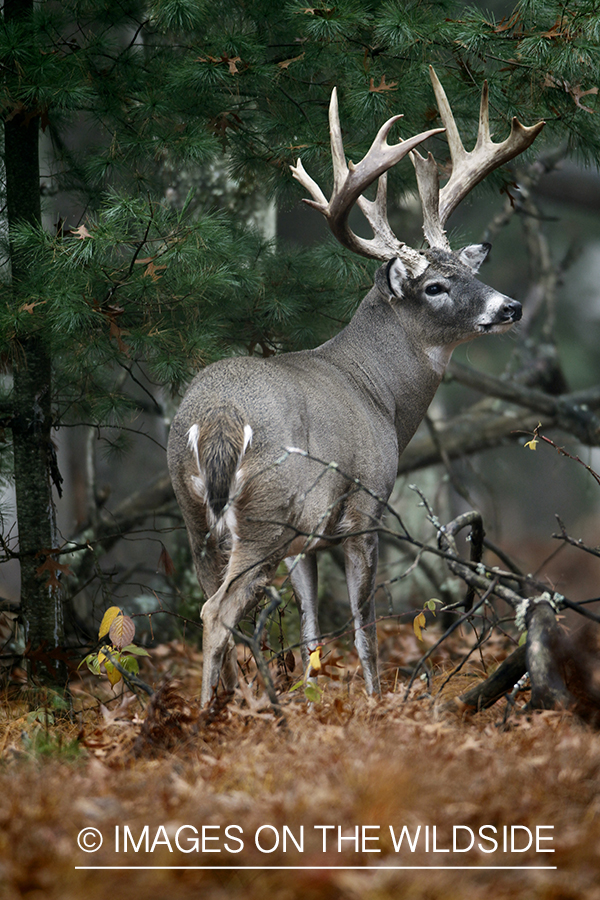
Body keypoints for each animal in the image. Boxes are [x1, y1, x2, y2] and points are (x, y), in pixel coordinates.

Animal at [168, 67, 544, 708]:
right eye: (436, 286)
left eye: (469, 269)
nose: (510, 307)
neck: (380, 397)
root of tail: (215, 418)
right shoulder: (367, 505)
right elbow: (365, 626)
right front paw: (372, 702)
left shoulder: (307, 540)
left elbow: (312, 630)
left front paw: (315, 697)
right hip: (268, 512)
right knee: (216, 612)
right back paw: (214, 716)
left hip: (197, 514)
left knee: (211, 604)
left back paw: (227, 706)